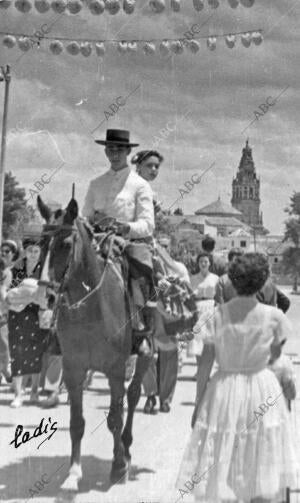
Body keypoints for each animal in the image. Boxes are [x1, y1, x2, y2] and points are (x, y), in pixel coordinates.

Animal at [38, 197, 152, 492]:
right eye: (40, 243)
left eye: (66, 244)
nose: (47, 295)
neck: (90, 310)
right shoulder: (73, 369)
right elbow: (77, 422)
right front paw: (73, 473)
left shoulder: (115, 370)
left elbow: (114, 418)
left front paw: (118, 466)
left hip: (145, 353)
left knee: (133, 396)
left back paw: (126, 449)